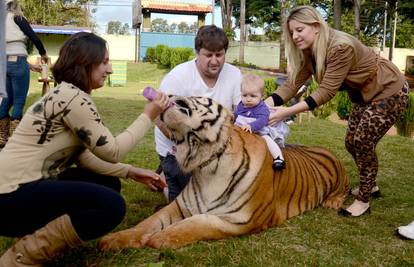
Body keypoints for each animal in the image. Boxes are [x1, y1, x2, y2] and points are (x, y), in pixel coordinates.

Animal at [98, 96, 350, 251]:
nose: (167, 96)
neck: (206, 161)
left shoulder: (241, 220)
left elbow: (198, 223)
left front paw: (160, 238)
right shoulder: (179, 205)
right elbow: (147, 223)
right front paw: (113, 239)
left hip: (340, 178)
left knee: (344, 190)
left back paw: (334, 202)